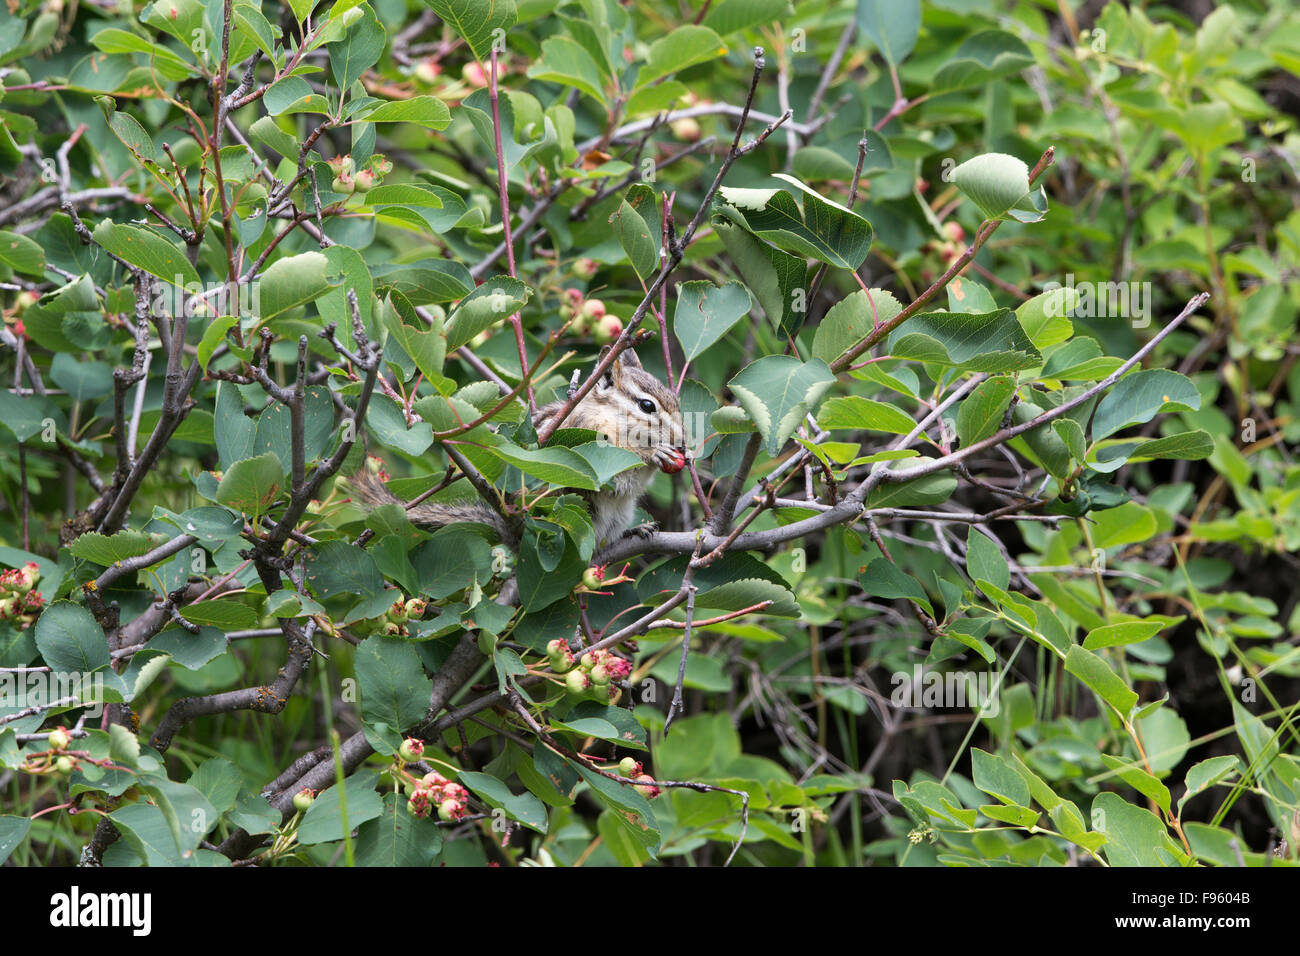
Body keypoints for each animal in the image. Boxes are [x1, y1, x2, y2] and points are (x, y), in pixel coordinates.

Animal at [349, 348, 689, 548]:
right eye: (647, 406)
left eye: (676, 399)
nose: (683, 442)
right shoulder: (589, 441)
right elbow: (614, 476)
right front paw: (654, 454)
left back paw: (636, 531)